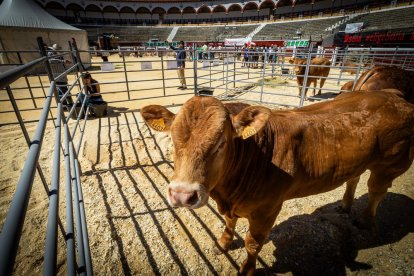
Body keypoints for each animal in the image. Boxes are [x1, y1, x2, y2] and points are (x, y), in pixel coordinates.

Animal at [142, 94, 414, 274]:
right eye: (172, 139)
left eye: (221, 142)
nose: (181, 195)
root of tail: (396, 97)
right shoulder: (231, 204)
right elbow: (229, 222)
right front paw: (223, 243)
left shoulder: (268, 209)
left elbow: (253, 244)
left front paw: (246, 270)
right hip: (358, 163)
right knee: (354, 178)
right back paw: (345, 206)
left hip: (390, 164)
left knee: (376, 191)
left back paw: (365, 221)